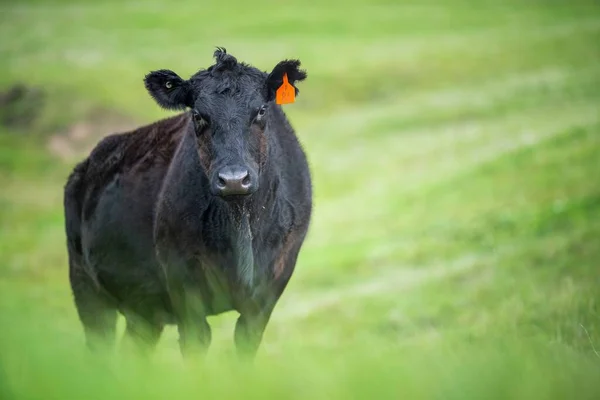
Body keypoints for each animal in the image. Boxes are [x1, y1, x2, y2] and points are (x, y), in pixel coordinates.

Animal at [63, 48, 312, 360]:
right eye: (197, 115)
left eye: (261, 111)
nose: (233, 179)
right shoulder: (183, 284)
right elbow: (196, 344)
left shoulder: (270, 288)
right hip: (86, 286)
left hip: (143, 310)